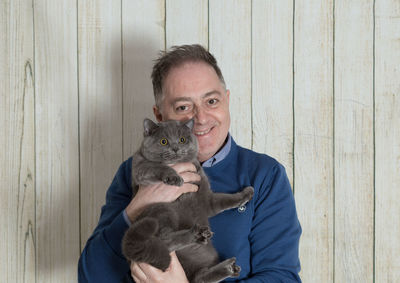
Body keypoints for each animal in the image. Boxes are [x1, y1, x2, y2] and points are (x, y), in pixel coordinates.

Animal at [122, 118, 253, 282]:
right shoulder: (139, 168)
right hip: (162, 209)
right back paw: (195, 234)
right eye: (164, 141)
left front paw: (246, 194)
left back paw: (228, 267)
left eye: (182, 139)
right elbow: (156, 167)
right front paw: (175, 177)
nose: (175, 148)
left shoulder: (207, 200)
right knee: (164, 240)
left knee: (199, 277)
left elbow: (226, 199)